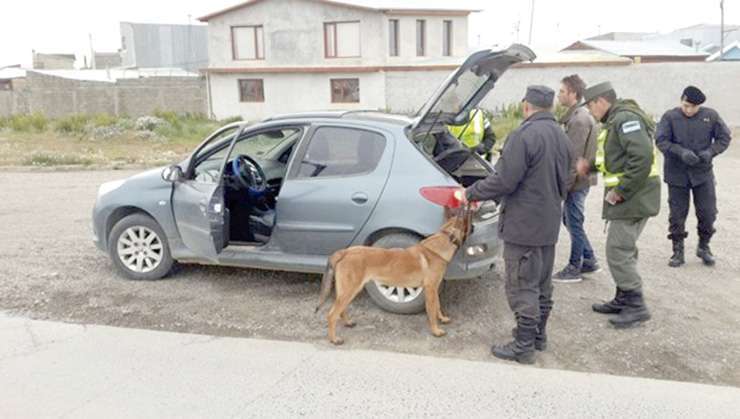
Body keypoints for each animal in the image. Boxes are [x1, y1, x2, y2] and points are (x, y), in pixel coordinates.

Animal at [316, 208, 472, 346]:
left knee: (340, 310)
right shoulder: (430, 290)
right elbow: (432, 311)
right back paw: (334, 339)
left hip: (348, 291)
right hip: (349, 290)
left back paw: (348, 323)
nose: (474, 226)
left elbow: (438, 306)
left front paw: (443, 319)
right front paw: (436, 331)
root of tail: (345, 252)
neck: (443, 240)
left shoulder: (433, 288)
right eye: (469, 224)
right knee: (332, 314)